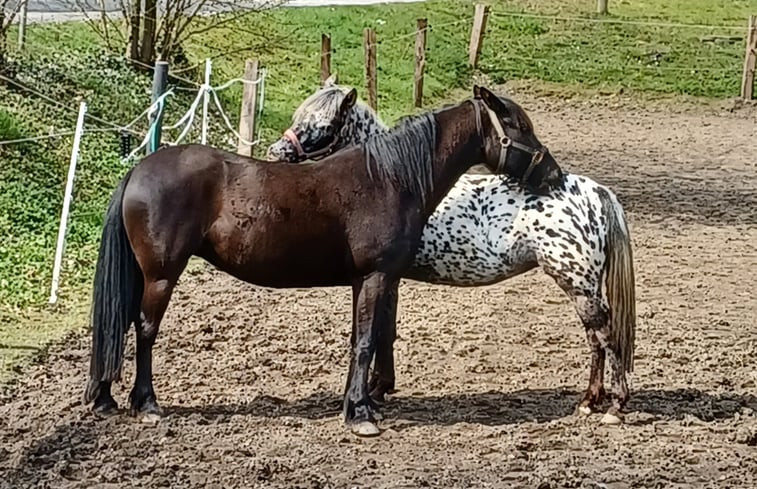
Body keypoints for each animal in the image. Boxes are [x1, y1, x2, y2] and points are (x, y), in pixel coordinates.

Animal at [84, 85, 560, 434]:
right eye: (519, 126)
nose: (553, 174)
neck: (388, 179)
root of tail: (139, 169)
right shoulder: (376, 276)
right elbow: (367, 341)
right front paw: (361, 414)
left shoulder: (368, 280)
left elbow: (365, 339)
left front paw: (360, 402)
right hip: (161, 275)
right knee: (144, 329)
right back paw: (146, 404)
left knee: (119, 322)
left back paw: (104, 398)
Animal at [268, 76, 636, 424]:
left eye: (324, 126)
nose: (275, 153)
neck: (397, 177)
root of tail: (597, 192)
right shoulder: (389, 277)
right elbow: (385, 330)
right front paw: (378, 388)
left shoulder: (383, 275)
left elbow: (380, 333)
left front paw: (375, 391)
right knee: (595, 339)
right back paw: (589, 401)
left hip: (578, 285)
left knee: (605, 336)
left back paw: (615, 406)